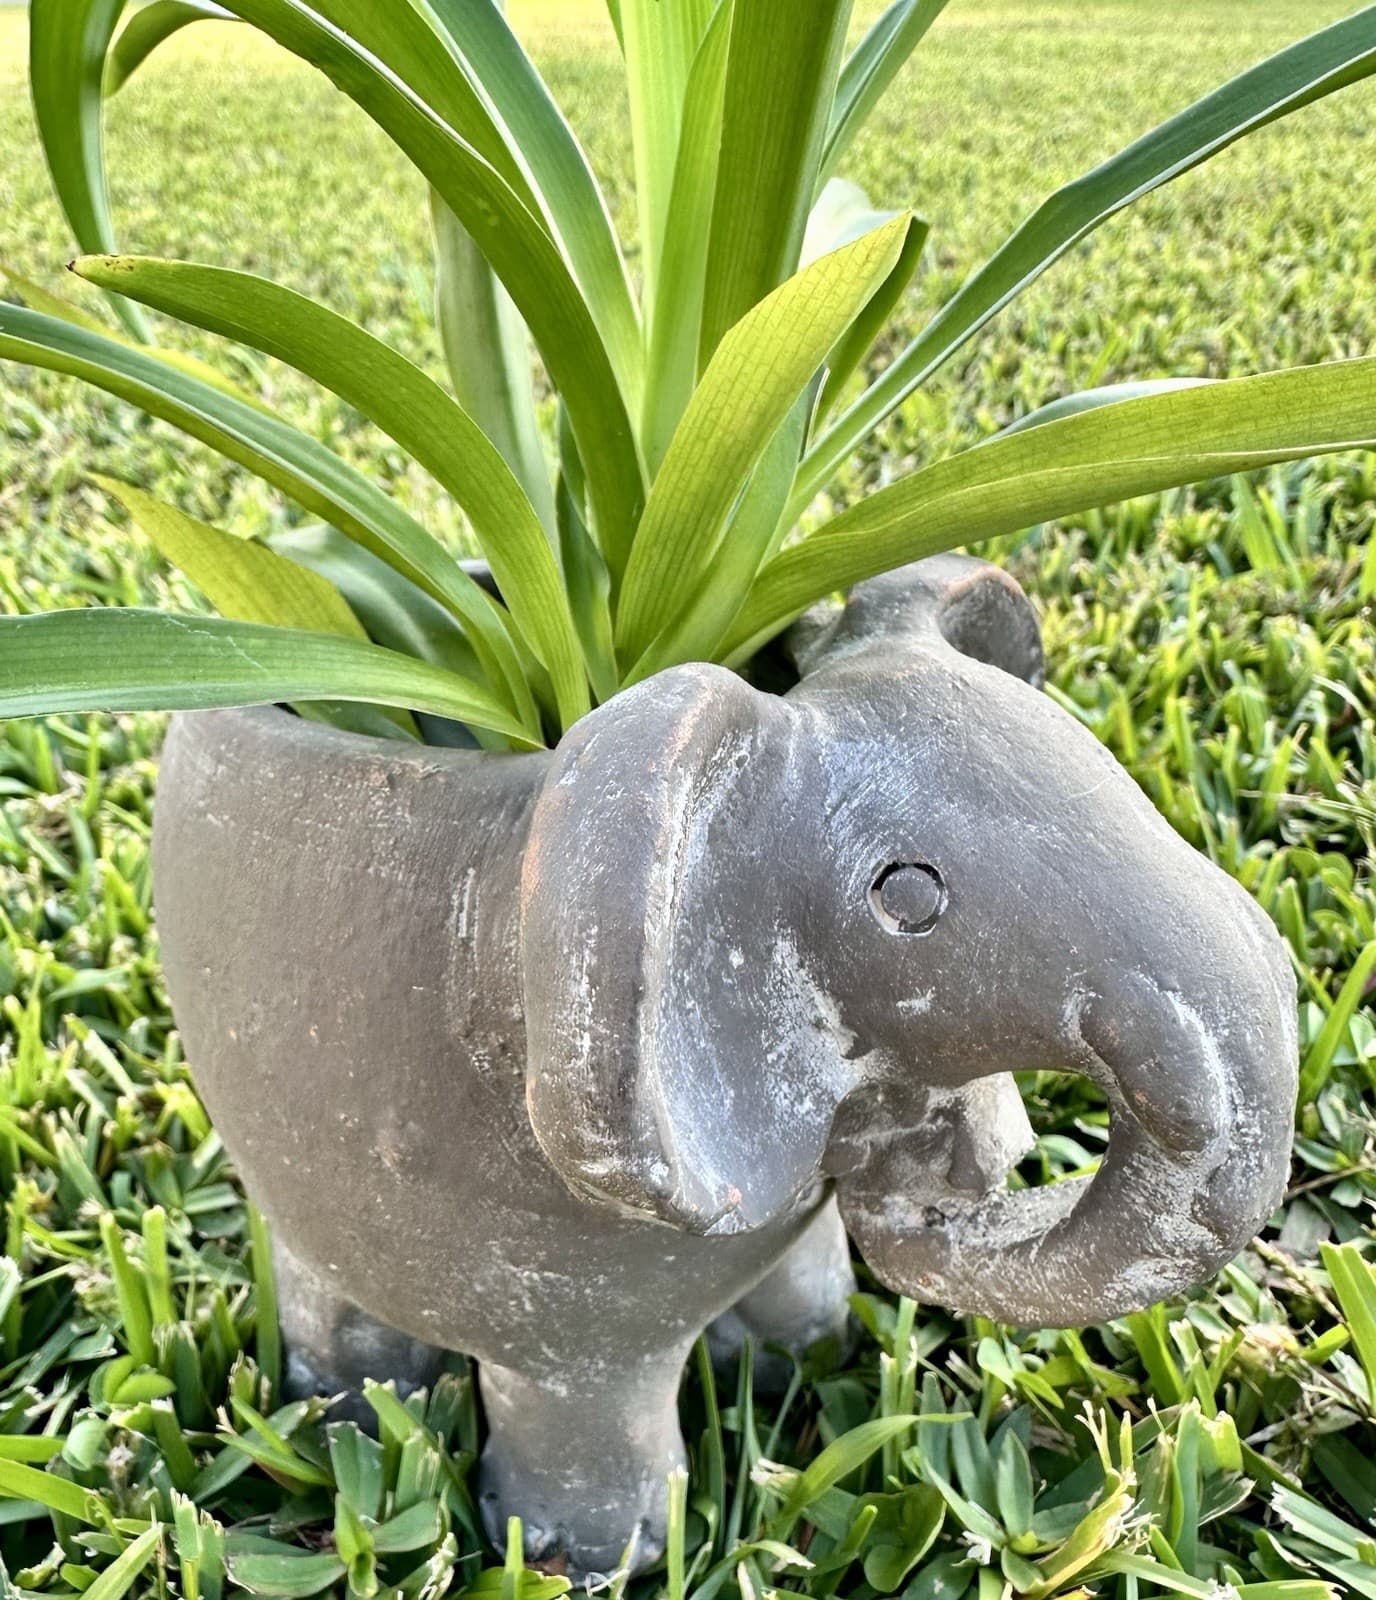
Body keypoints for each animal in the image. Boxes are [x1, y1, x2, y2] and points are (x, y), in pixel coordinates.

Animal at [151, 554, 1296, 1577]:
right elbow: (586, 1388)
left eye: (1109, 779)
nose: (963, 1170)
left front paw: (806, 1358)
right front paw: (597, 1563)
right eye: (906, 895)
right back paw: (337, 1402)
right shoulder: (573, 1304)